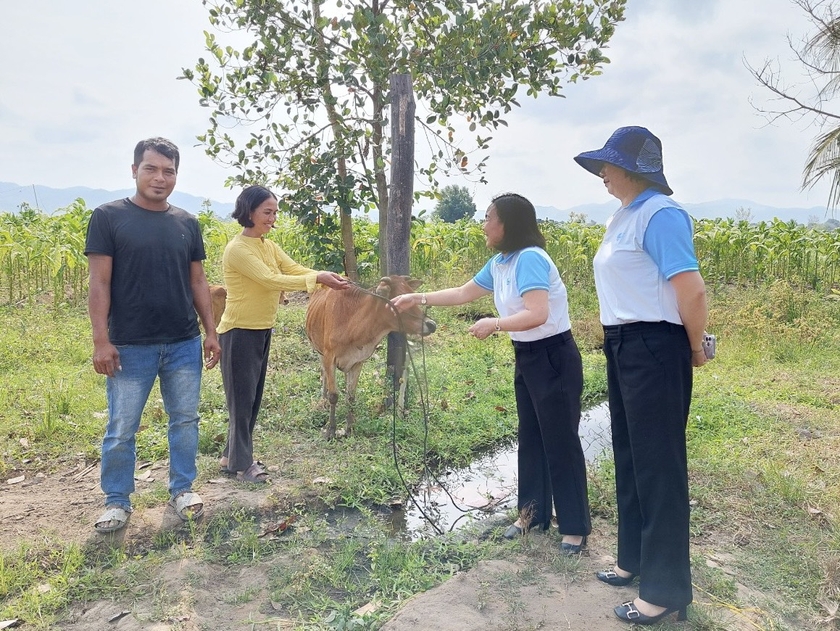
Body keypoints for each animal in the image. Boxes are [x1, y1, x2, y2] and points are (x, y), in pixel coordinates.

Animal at [306, 276, 436, 440]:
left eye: (412, 294)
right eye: (401, 300)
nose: (432, 324)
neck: (353, 324)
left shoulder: (357, 361)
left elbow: (351, 397)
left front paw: (349, 428)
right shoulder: (329, 357)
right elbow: (333, 395)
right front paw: (331, 430)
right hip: (318, 350)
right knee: (323, 373)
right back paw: (322, 401)